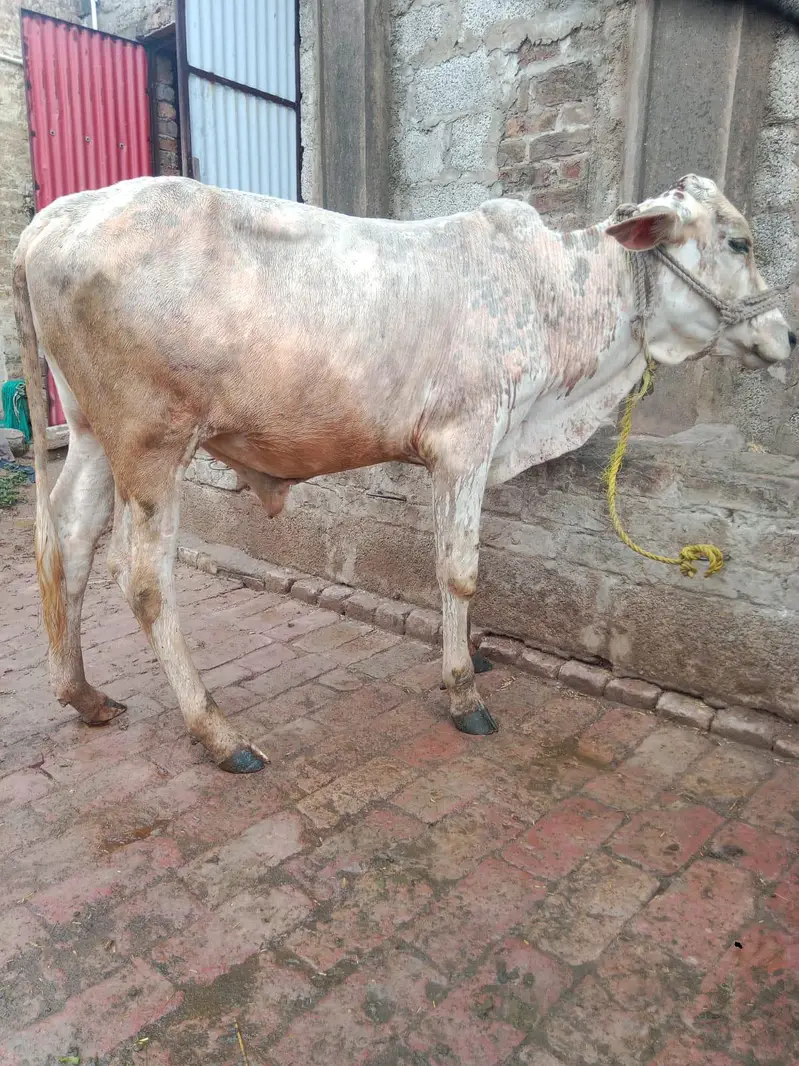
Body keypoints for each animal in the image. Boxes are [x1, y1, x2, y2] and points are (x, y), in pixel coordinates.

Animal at [12, 173, 794, 773]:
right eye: (738, 242)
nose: (786, 335)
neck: (554, 295)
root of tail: (58, 216)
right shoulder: (465, 443)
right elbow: (460, 572)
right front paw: (464, 694)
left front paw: (470, 659)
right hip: (152, 443)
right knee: (142, 577)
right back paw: (219, 733)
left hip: (92, 433)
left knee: (68, 541)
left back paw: (84, 695)